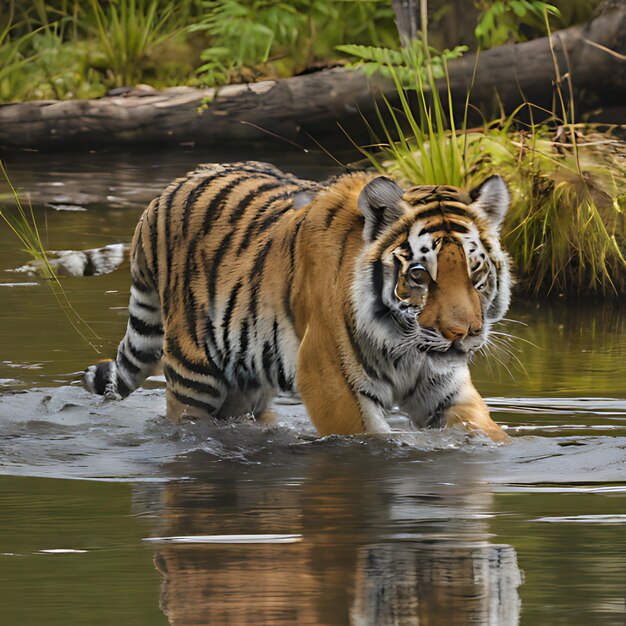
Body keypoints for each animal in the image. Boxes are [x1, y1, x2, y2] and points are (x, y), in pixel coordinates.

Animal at [83, 162, 512, 444]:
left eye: (475, 271)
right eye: (420, 275)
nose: (462, 334)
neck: (404, 347)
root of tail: (168, 190)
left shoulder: (443, 388)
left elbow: (489, 433)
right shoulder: (331, 383)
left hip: (245, 384)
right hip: (194, 375)